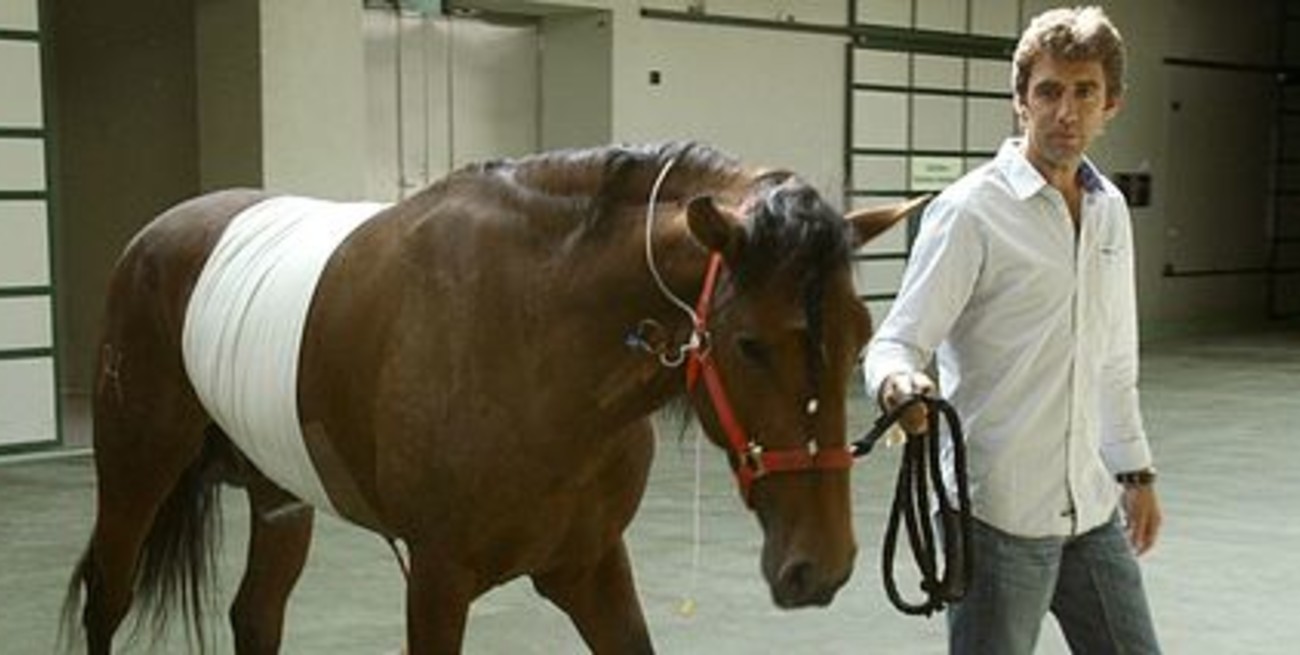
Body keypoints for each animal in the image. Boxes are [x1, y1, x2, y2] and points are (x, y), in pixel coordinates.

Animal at [61, 142, 924, 654]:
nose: (821, 567)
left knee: (256, 611)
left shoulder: (590, 566)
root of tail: (154, 237)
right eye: (750, 343)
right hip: (135, 470)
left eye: (861, 334)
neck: (533, 339)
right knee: (109, 595)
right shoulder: (439, 580)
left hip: (279, 490)